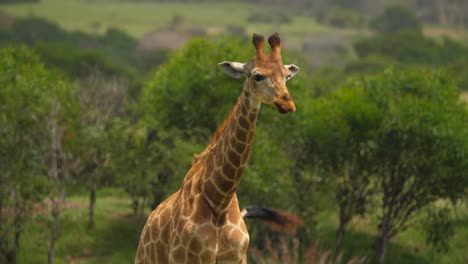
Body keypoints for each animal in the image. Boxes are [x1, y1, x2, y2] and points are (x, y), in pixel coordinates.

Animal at [134, 33, 300, 264]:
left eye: (286, 76)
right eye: (257, 76)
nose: (287, 104)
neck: (220, 198)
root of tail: (147, 225)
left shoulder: (238, 258)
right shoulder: (190, 259)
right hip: (144, 258)